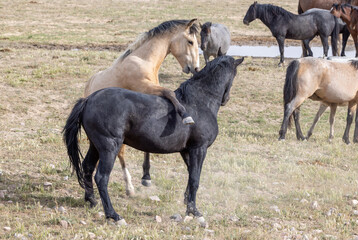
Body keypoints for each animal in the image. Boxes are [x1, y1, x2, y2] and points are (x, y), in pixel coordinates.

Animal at [63, 55, 245, 222]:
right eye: (235, 74)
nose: (226, 99)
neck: (198, 102)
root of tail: (88, 100)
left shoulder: (187, 151)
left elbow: (191, 175)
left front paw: (188, 204)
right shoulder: (198, 149)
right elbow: (195, 179)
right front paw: (194, 211)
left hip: (95, 146)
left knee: (87, 167)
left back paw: (92, 200)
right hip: (109, 147)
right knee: (101, 177)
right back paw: (113, 215)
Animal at [84, 19, 201, 198]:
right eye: (190, 42)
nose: (195, 68)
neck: (144, 61)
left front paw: (146, 177)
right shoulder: (146, 88)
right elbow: (170, 93)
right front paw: (186, 116)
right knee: (120, 154)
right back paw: (128, 187)